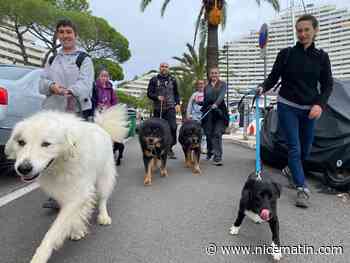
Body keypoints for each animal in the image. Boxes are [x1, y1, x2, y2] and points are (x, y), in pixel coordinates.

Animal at [5, 104, 129, 263]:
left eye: (46, 144)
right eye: (21, 142)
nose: (23, 169)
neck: (62, 163)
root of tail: (100, 126)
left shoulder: (79, 193)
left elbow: (54, 231)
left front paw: (39, 257)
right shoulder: (64, 192)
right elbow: (71, 216)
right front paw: (76, 229)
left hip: (104, 178)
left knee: (102, 199)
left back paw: (104, 217)